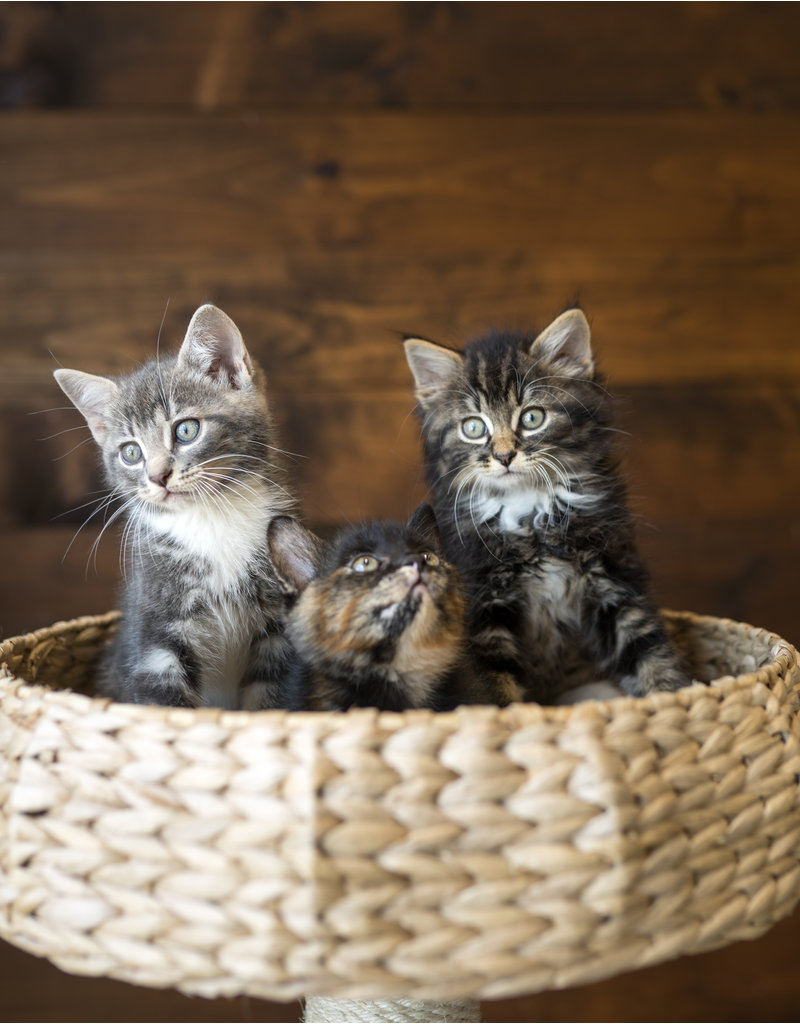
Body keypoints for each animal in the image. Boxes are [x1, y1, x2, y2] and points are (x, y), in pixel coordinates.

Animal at [55, 299, 297, 708]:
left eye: (185, 430)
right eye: (131, 452)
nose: (157, 476)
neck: (211, 517)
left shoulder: (278, 632)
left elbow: (271, 699)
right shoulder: (154, 634)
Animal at [403, 305, 688, 704]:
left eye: (532, 417)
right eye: (473, 427)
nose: (504, 456)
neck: (530, 513)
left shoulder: (614, 581)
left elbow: (648, 652)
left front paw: (672, 699)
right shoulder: (484, 610)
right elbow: (498, 689)